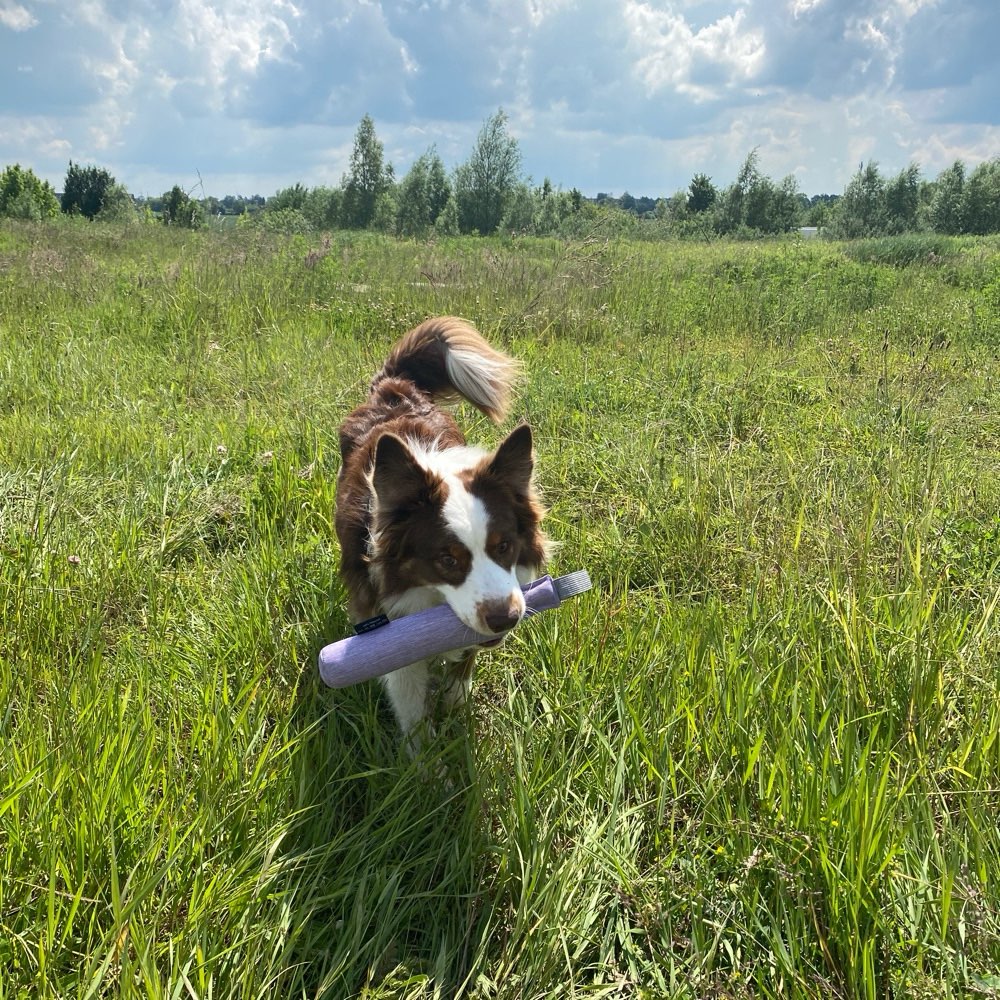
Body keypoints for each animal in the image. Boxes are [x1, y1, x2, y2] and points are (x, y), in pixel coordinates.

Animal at [338, 316, 552, 748]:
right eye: (446, 560)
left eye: (504, 546)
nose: (505, 620)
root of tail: (394, 388)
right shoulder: (388, 625)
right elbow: (410, 703)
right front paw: (424, 760)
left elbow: (464, 661)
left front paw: (456, 704)